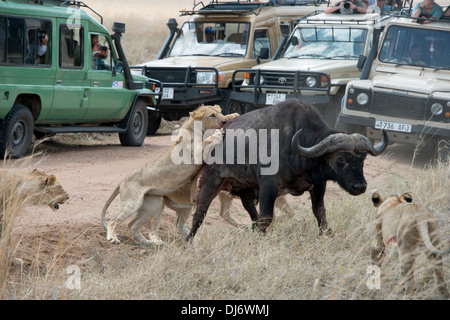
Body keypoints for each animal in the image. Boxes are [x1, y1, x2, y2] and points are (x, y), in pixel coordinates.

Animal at [101, 105, 236, 245]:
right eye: (212, 115)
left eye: (220, 112)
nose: (225, 121)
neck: (197, 128)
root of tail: (123, 180)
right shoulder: (198, 153)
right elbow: (207, 141)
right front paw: (218, 133)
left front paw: (233, 115)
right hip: (133, 203)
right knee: (113, 221)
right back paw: (113, 238)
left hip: (152, 206)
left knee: (132, 225)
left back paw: (149, 243)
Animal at [185, 100, 386, 240]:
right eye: (341, 159)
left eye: (363, 159)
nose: (360, 186)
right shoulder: (269, 187)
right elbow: (267, 217)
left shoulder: (318, 185)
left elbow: (320, 213)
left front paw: (327, 234)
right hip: (211, 181)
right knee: (200, 214)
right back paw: (188, 241)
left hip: (246, 189)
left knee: (251, 211)